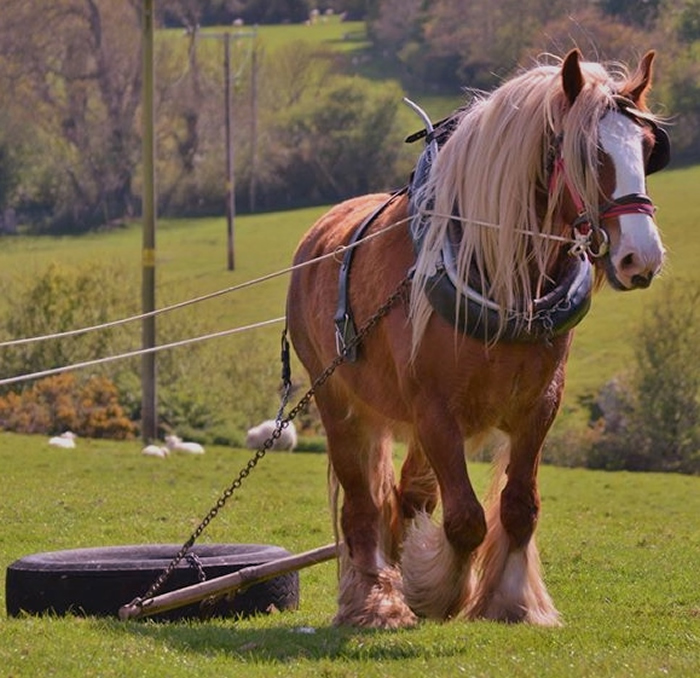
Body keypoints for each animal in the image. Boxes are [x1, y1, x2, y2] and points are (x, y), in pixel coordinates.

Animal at [288, 50, 668, 628]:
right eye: (587, 154)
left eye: (647, 148)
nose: (640, 258)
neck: (501, 275)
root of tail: (318, 233)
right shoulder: (434, 411)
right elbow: (465, 517)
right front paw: (433, 590)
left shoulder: (539, 405)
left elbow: (518, 507)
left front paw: (511, 599)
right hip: (341, 405)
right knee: (363, 509)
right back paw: (376, 599)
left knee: (406, 495)